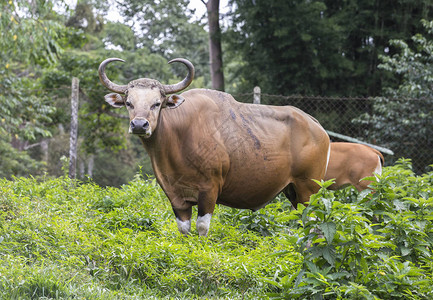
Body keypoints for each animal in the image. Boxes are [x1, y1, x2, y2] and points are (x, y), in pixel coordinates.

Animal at [97, 58, 328, 237]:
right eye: (129, 103)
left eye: (157, 103)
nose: (139, 125)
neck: (178, 140)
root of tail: (316, 126)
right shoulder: (175, 196)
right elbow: (184, 229)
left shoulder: (209, 190)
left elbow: (202, 227)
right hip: (293, 191)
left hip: (309, 190)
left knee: (314, 224)